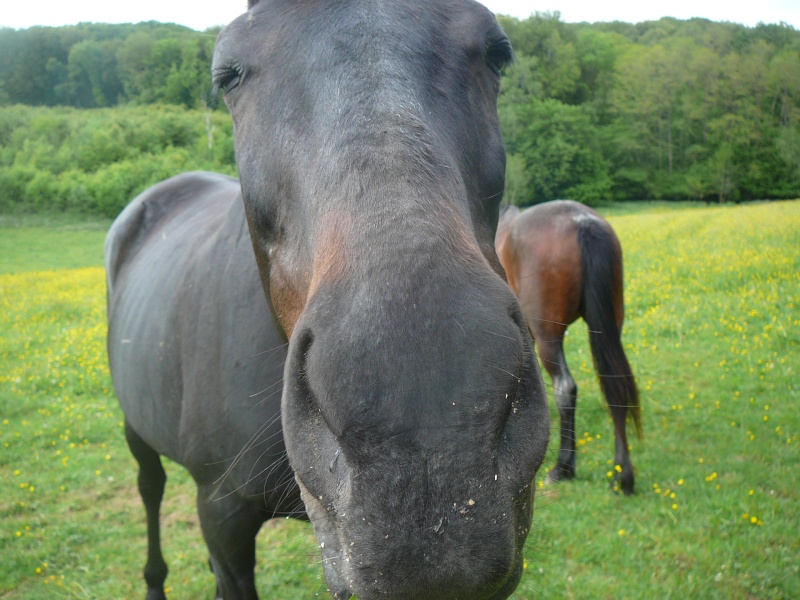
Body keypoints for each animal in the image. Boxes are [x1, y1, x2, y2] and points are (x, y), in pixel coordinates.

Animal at [106, 1, 552, 600]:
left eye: (497, 53)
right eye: (228, 74)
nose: (432, 428)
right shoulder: (221, 514)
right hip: (139, 435)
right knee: (150, 487)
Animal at [496, 200, 640, 492]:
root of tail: (582, 221)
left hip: (549, 337)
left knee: (565, 389)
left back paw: (563, 467)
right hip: (609, 326)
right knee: (615, 385)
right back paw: (622, 474)